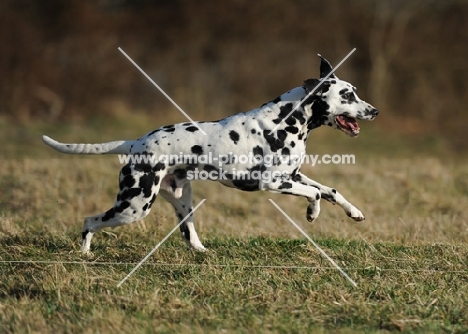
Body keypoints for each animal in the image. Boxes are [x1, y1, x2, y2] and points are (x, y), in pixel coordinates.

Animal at [43, 55, 380, 253]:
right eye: (347, 95)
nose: (375, 111)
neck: (286, 118)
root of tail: (135, 143)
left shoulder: (294, 176)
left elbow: (331, 190)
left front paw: (353, 212)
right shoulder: (273, 183)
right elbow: (317, 194)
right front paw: (312, 213)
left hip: (181, 202)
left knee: (189, 236)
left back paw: (204, 253)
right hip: (135, 205)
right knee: (90, 221)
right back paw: (85, 254)